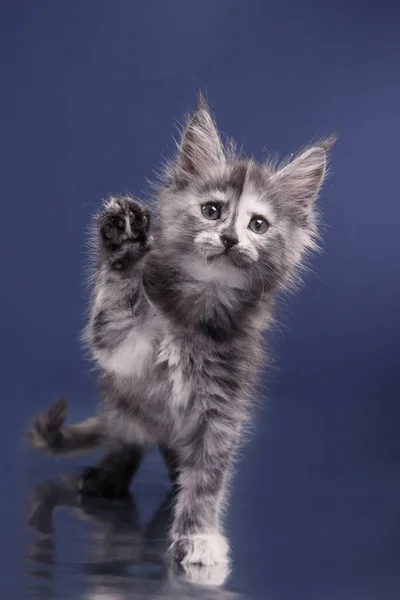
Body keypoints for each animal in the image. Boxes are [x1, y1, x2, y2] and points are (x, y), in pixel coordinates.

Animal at [28, 94, 334, 568]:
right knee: (130, 436)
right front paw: (123, 244)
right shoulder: (121, 347)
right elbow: (115, 309)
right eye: (212, 211)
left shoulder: (224, 404)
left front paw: (198, 534)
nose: (229, 239)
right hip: (121, 398)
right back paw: (111, 473)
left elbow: (208, 477)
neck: (199, 306)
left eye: (258, 225)